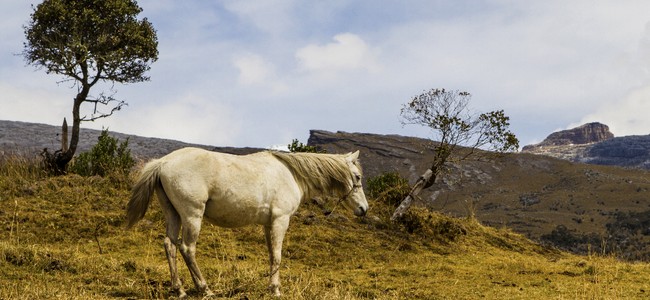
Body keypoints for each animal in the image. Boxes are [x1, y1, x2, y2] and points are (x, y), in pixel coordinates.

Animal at [124, 148, 368, 298]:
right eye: (357, 177)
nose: (363, 209)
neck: (292, 174)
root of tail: (163, 162)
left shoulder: (268, 224)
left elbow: (271, 254)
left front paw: (271, 286)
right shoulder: (280, 221)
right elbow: (277, 256)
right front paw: (276, 289)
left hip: (173, 214)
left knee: (170, 245)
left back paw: (180, 290)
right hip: (192, 215)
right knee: (187, 248)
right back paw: (205, 289)